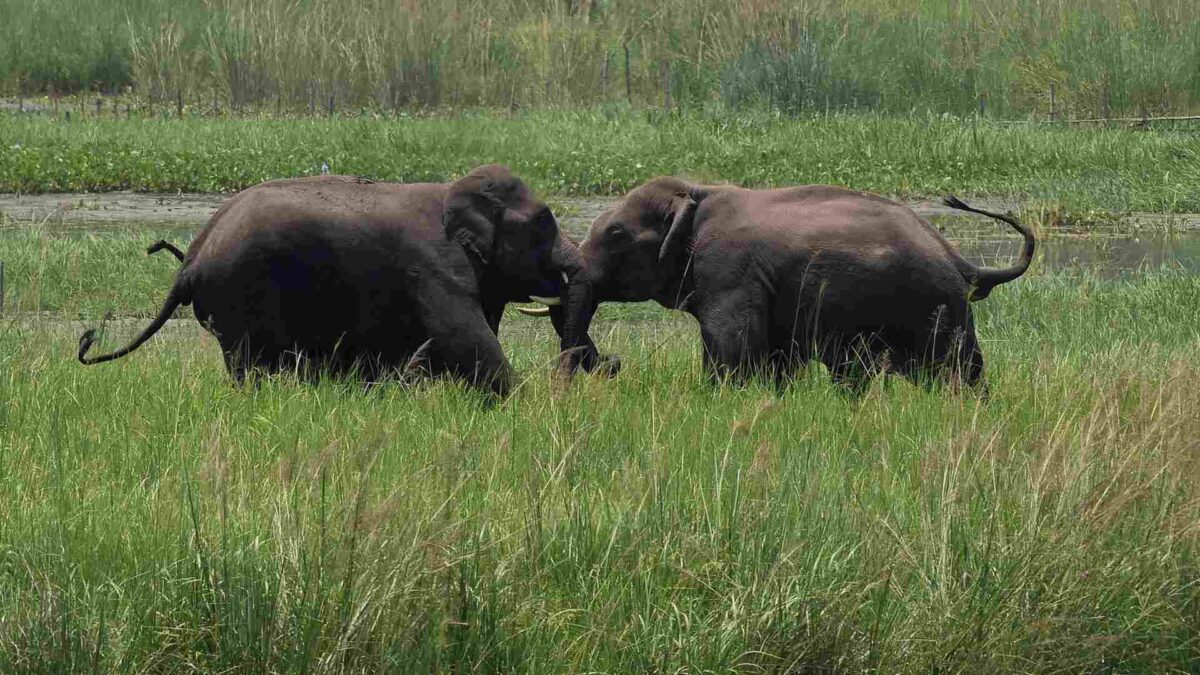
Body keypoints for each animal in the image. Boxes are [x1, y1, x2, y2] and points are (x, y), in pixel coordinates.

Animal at [77, 164, 619, 393]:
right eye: (543, 223)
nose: (615, 365)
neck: (454, 191)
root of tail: (190, 259)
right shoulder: (434, 267)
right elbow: (465, 338)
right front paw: (523, 402)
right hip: (239, 294)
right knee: (250, 363)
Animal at [520, 176, 1036, 391]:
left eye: (615, 236)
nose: (614, 363)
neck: (697, 190)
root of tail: (961, 260)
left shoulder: (729, 270)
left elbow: (733, 348)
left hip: (935, 305)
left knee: (954, 371)